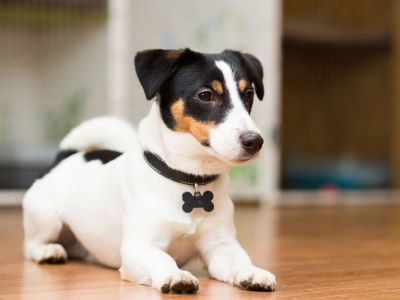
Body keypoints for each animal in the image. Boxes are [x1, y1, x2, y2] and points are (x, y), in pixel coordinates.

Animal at [23, 48, 276, 292]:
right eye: (205, 95)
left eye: (248, 94)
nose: (254, 141)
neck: (189, 180)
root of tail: (67, 154)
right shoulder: (139, 248)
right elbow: (162, 258)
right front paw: (176, 275)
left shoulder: (220, 245)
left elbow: (239, 258)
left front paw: (252, 271)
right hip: (47, 219)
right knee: (31, 246)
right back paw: (48, 251)